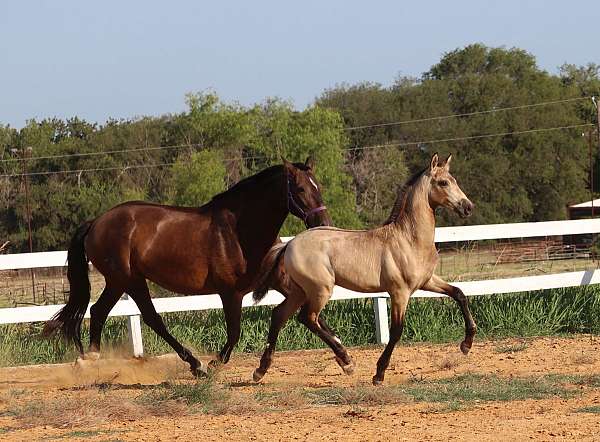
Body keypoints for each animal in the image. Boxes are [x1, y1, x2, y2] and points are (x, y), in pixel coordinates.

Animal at [44, 157, 330, 374]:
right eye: (300, 189)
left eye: (318, 186)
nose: (323, 223)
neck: (239, 232)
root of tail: (96, 222)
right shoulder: (231, 293)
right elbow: (234, 333)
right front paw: (216, 364)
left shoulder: (277, 281)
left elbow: (312, 315)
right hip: (127, 280)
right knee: (144, 317)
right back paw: (196, 365)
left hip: (123, 282)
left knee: (106, 312)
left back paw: (91, 359)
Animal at [253, 155, 478, 384]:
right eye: (443, 182)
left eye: (454, 180)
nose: (467, 207)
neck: (409, 239)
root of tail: (290, 244)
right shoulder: (400, 293)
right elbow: (396, 331)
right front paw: (379, 373)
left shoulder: (427, 281)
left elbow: (459, 294)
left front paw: (466, 344)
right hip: (319, 290)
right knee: (307, 318)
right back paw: (346, 362)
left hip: (299, 291)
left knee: (279, 314)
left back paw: (261, 370)